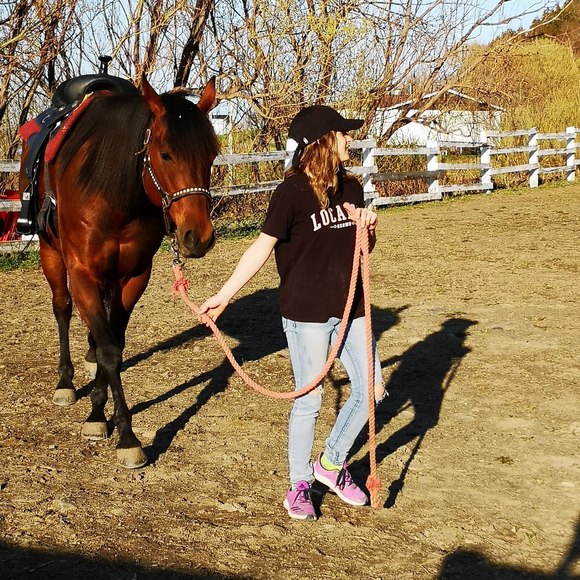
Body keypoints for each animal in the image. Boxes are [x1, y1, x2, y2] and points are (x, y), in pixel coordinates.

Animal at [18, 76, 220, 468]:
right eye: (165, 153)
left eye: (212, 155)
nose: (198, 236)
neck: (117, 194)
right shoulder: (81, 272)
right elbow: (109, 349)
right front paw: (124, 434)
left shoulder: (134, 276)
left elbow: (113, 342)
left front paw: (99, 412)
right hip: (51, 254)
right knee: (63, 309)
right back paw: (65, 382)